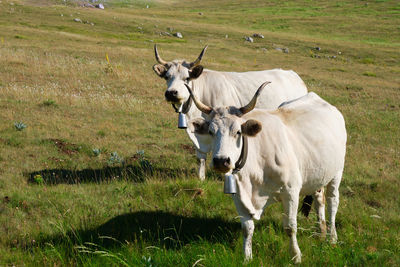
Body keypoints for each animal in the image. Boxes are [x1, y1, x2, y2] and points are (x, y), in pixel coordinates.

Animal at [153, 45, 310, 180]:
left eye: (187, 78)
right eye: (167, 77)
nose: (171, 93)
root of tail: (292, 74)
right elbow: (200, 157)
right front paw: (201, 178)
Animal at [186, 82, 346, 264]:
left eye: (238, 132)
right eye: (211, 132)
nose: (221, 161)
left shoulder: (291, 191)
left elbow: (290, 227)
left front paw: (296, 256)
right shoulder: (239, 195)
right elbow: (247, 228)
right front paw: (247, 258)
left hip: (337, 173)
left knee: (333, 202)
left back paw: (332, 238)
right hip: (317, 173)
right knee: (319, 199)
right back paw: (322, 232)